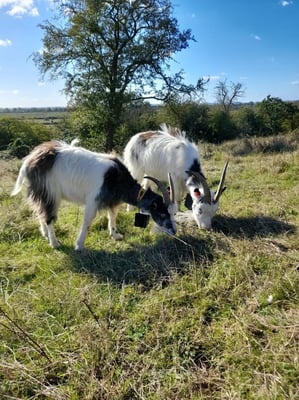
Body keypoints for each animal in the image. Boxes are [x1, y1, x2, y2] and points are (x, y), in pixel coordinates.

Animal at [10, 139, 177, 248]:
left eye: (173, 213)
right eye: (162, 213)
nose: (174, 231)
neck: (116, 178)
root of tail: (29, 161)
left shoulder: (111, 199)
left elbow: (112, 216)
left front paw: (115, 235)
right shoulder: (93, 199)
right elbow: (87, 220)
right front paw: (79, 245)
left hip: (39, 192)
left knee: (40, 211)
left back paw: (44, 233)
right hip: (50, 192)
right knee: (49, 216)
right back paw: (55, 243)